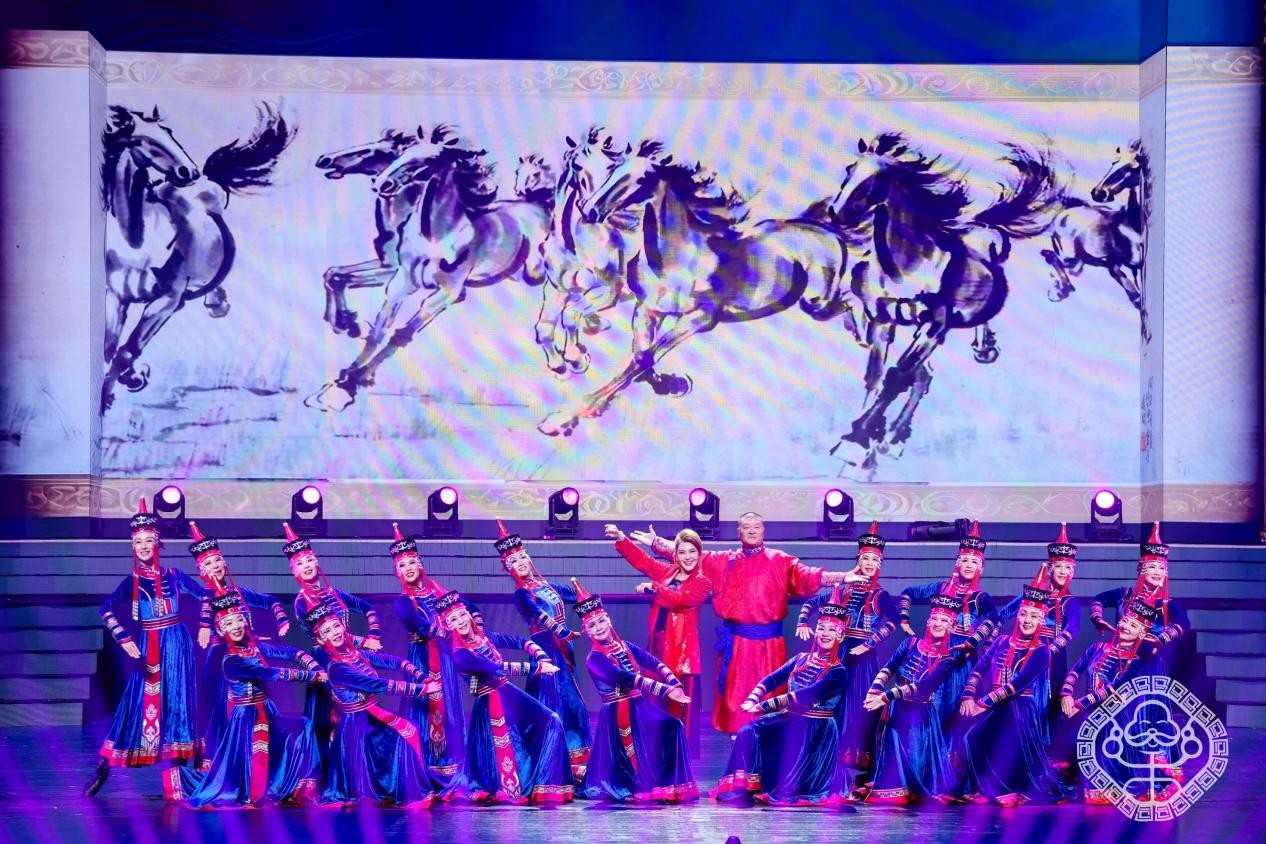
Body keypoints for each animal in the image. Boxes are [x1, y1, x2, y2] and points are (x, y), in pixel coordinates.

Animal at [101, 102, 296, 413]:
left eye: (167, 131)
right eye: (140, 141)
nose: (186, 171)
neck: (136, 240)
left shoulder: (165, 300)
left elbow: (128, 351)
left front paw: (130, 379)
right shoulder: (115, 297)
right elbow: (110, 349)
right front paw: (114, 391)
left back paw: (217, 302)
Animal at [315, 128, 421, 337]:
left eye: (377, 152)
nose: (324, 160)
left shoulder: (400, 272)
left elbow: (339, 278)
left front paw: (347, 323)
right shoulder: (386, 263)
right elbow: (332, 273)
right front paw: (342, 322)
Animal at [536, 142, 853, 437]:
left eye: (643, 178)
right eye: (615, 168)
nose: (591, 210)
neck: (675, 261)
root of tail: (826, 230)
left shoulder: (700, 318)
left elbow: (642, 357)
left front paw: (562, 418)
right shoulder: (645, 309)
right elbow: (640, 356)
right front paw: (670, 384)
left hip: (817, 300)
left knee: (843, 302)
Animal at [820, 133, 1063, 476]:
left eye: (878, 178)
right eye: (850, 168)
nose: (838, 214)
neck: (903, 266)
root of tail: (982, 225)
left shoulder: (934, 325)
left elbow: (897, 377)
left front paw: (858, 441)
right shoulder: (882, 321)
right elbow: (876, 377)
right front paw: (861, 442)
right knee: (923, 377)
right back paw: (892, 438)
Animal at [1041, 140, 1151, 342]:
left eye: (1132, 167)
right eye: (1114, 161)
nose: (1099, 192)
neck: (1132, 227)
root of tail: (1067, 209)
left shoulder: (1137, 270)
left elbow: (1140, 299)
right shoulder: (1115, 267)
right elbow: (1135, 298)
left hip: (1080, 260)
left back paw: (1063, 289)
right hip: (1070, 256)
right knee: (1052, 257)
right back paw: (1060, 290)